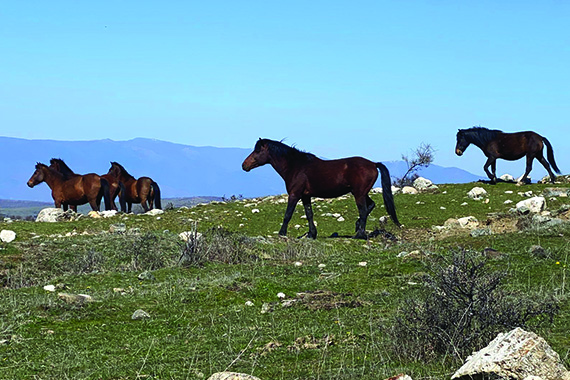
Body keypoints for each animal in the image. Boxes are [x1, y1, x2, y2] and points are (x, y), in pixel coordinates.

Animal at [241, 138, 400, 239]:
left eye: (257, 151)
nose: (244, 165)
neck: (296, 166)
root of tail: (373, 164)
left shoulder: (294, 194)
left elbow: (288, 214)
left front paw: (282, 233)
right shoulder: (305, 196)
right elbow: (309, 214)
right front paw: (312, 234)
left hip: (359, 194)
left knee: (363, 210)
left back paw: (359, 235)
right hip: (360, 192)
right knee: (370, 206)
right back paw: (358, 228)